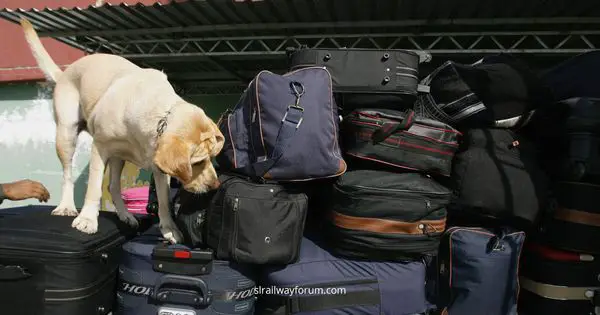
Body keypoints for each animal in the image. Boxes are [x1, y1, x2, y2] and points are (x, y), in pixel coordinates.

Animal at [21, 18, 224, 243]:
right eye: (197, 163)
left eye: (212, 158)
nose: (216, 185)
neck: (158, 112)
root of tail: (65, 72)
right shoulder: (99, 148)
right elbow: (93, 188)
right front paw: (88, 220)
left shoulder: (159, 169)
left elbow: (163, 201)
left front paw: (169, 229)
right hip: (66, 135)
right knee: (68, 174)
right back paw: (66, 206)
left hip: (118, 157)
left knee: (113, 186)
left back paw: (125, 215)